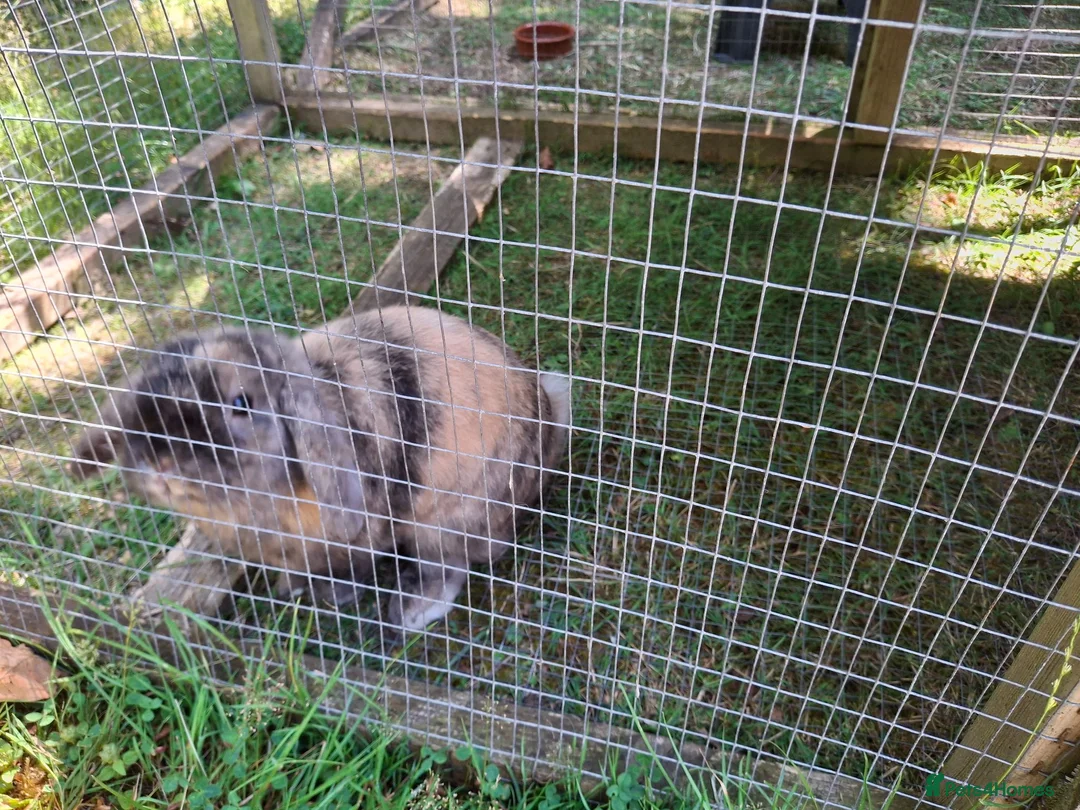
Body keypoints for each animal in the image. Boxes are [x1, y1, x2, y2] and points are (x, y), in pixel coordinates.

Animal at [69, 305, 571, 632]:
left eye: (240, 403)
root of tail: (548, 427)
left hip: (442, 522)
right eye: (142, 395)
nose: (158, 461)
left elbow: (350, 566)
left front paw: (338, 595)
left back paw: (409, 613)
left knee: (447, 570)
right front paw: (296, 589)